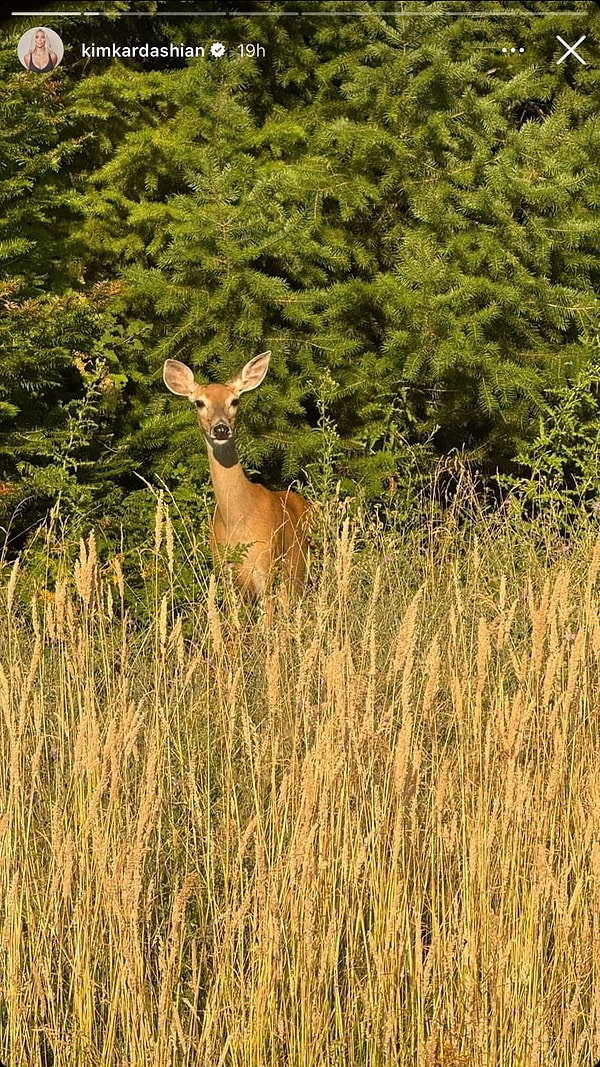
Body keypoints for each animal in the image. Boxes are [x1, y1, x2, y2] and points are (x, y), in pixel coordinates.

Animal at [161, 352, 309, 597]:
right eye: (199, 403)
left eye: (235, 401)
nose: (221, 428)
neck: (238, 521)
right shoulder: (225, 574)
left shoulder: (266, 568)